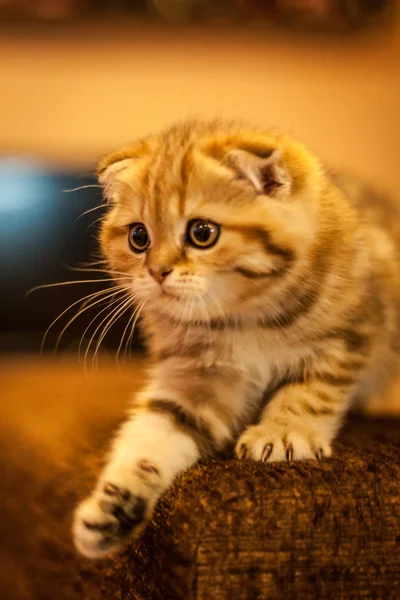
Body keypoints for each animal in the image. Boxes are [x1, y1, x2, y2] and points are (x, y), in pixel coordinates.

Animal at [72, 117, 400, 556]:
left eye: (202, 232)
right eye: (138, 237)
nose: (157, 272)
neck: (242, 318)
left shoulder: (352, 331)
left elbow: (312, 388)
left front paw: (284, 431)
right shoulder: (197, 376)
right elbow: (156, 430)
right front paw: (114, 502)